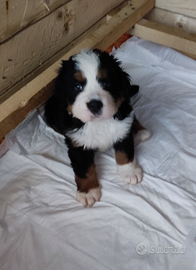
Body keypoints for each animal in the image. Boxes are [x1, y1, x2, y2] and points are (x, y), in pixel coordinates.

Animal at [44, 48, 150, 207]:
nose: (94, 104)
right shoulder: (77, 145)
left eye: (106, 83)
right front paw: (88, 192)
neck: (99, 123)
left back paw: (140, 131)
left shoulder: (122, 129)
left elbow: (125, 152)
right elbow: (83, 169)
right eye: (77, 87)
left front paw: (129, 172)